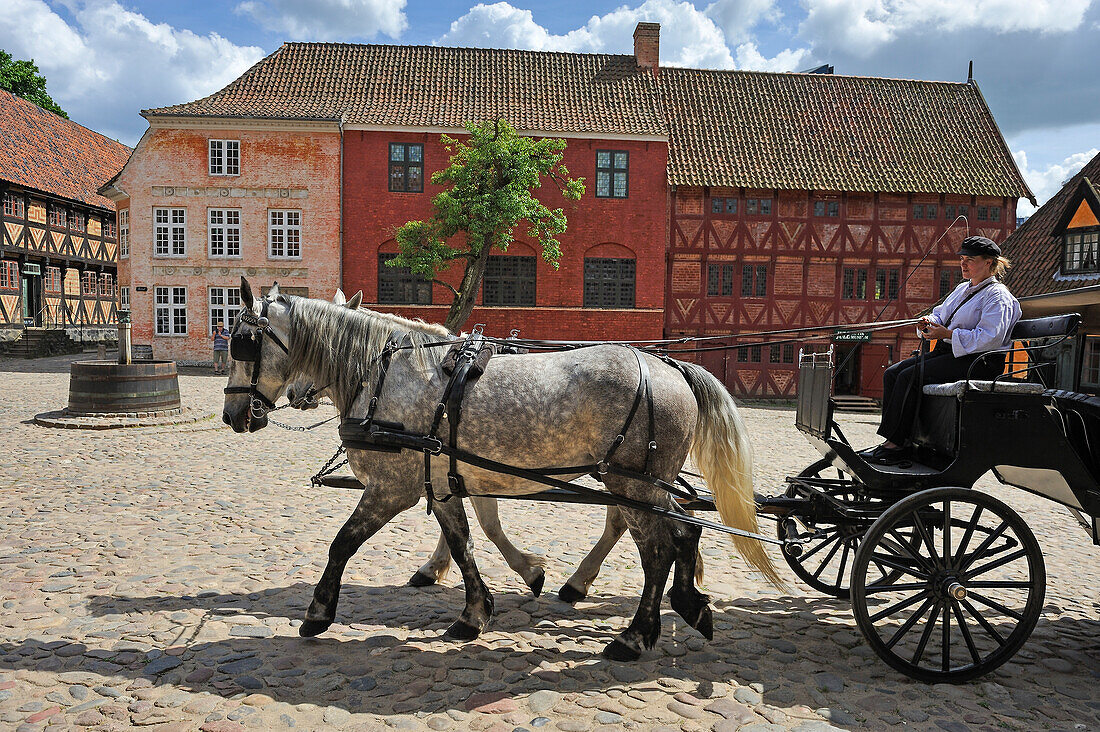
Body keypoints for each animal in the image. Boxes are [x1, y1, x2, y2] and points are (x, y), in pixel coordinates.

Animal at [221, 278, 783, 656]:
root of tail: (669, 366)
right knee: (681, 534)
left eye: (243, 343)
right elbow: (465, 541)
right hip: (642, 483)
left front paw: (318, 612)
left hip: (632, 482)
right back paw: (687, 603)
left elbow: (343, 544)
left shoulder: (390, 488)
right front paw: (475, 610)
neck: (386, 374)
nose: (232, 414)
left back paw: (634, 633)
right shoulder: (446, 481)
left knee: (658, 548)